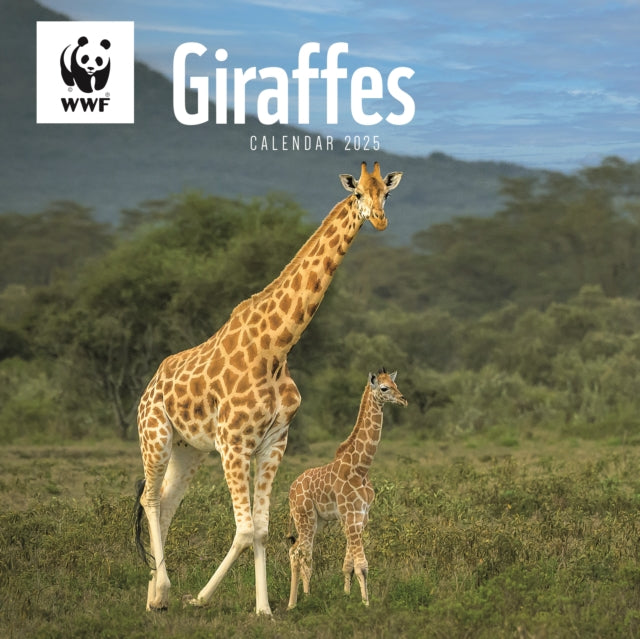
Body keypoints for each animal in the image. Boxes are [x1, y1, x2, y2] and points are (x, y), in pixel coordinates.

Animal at [287, 369, 407, 609]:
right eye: (384, 388)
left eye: (396, 384)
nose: (403, 400)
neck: (361, 468)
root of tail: (291, 490)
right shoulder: (351, 515)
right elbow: (362, 565)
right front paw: (366, 604)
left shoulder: (361, 516)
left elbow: (349, 565)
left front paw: (347, 596)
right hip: (304, 517)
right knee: (297, 553)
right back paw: (292, 604)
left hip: (316, 521)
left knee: (304, 555)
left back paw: (307, 595)